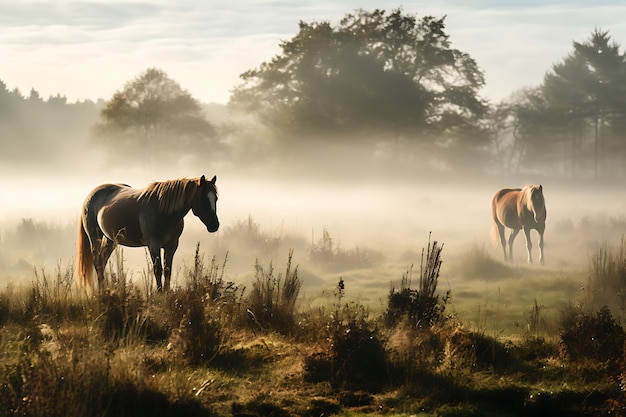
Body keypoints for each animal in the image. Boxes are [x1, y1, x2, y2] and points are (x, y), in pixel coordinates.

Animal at [77, 174, 218, 290]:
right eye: (204, 199)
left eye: (215, 198)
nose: (214, 225)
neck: (163, 211)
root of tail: (91, 195)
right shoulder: (153, 244)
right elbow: (158, 270)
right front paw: (159, 295)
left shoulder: (172, 245)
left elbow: (168, 271)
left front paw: (167, 294)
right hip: (95, 237)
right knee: (97, 261)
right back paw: (101, 293)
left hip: (111, 240)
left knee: (102, 261)